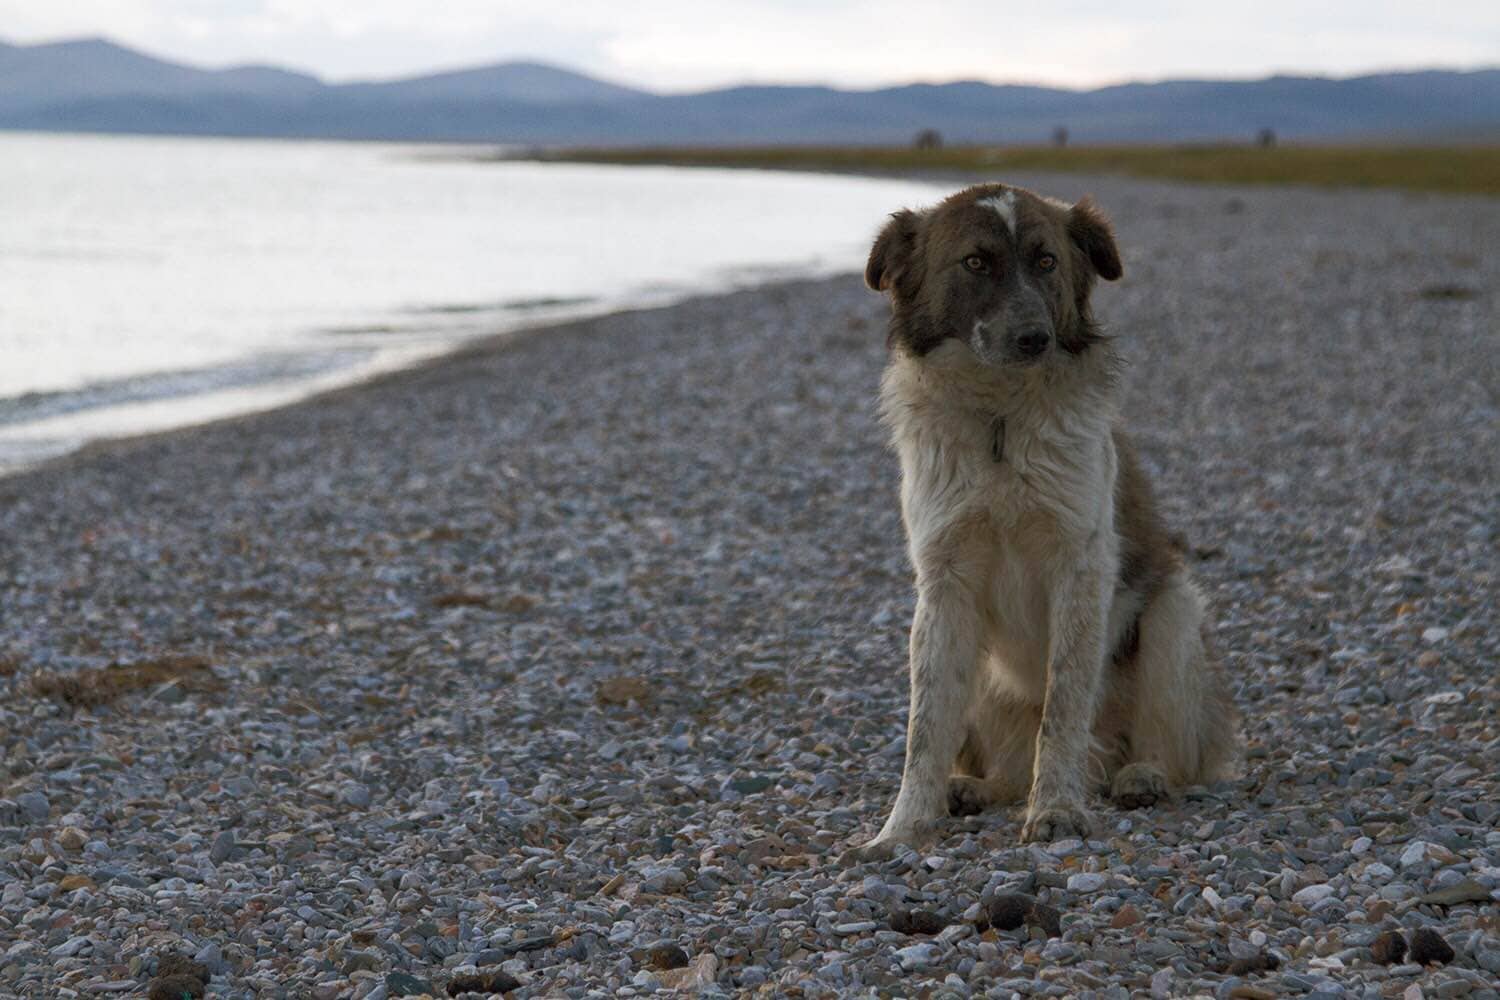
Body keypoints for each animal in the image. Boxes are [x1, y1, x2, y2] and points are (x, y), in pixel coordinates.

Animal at [852, 182, 1236, 863]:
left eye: (1047, 261)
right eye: (976, 262)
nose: (1034, 337)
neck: (1001, 417)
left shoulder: (1079, 566)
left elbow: (1063, 708)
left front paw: (1056, 810)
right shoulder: (944, 585)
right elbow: (925, 729)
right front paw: (901, 830)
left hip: (1173, 614)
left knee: (1157, 742)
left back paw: (1142, 775)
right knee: (1003, 764)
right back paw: (974, 788)